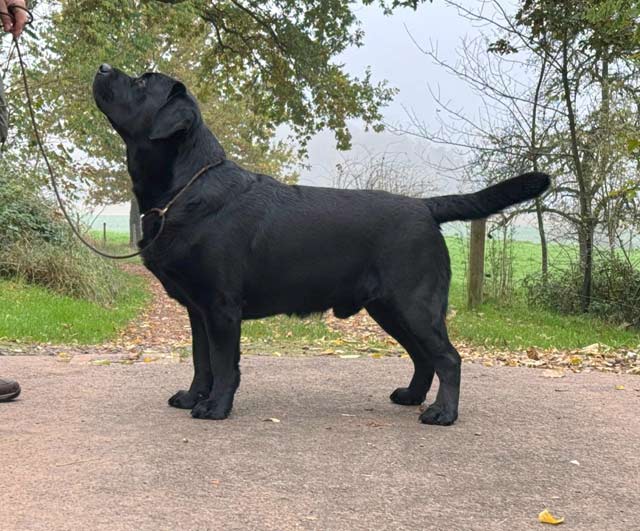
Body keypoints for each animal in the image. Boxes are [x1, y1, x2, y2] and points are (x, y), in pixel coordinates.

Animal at [93, 64, 550, 426]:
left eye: (142, 82)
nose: (101, 67)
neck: (185, 188)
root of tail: (424, 205)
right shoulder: (197, 309)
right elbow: (200, 360)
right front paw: (192, 397)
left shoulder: (221, 307)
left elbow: (224, 364)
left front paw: (215, 407)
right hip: (388, 308)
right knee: (424, 357)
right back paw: (411, 397)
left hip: (414, 304)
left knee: (448, 357)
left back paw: (443, 413)